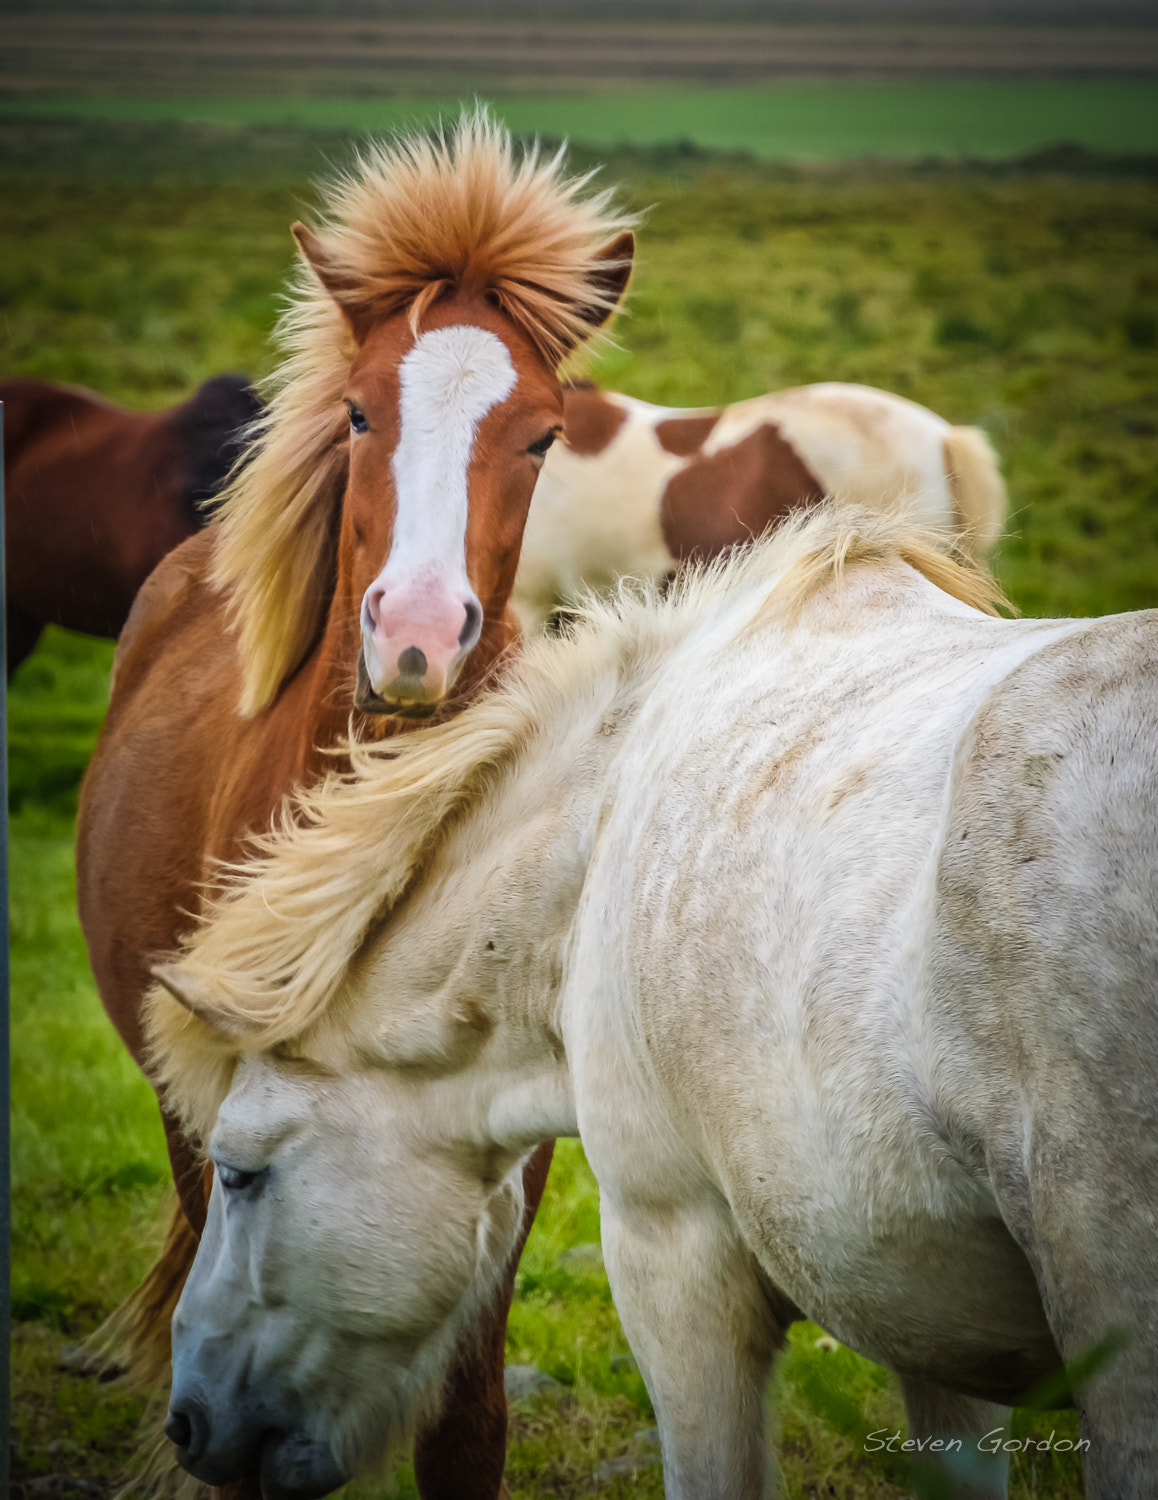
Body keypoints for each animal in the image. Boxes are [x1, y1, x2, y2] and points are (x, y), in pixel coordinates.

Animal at [74, 117, 633, 1500]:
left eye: (544, 436)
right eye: (360, 409)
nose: (420, 636)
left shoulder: (507, 1148)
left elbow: (467, 1419)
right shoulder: (232, 1109)